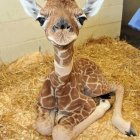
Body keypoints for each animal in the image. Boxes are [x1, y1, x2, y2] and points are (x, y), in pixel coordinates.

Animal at [20, 0, 137, 139]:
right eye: (40, 19)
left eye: (82, 18)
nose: (62, 28)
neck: (60, 85)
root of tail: (93, 63)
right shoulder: (41, 104)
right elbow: (44, 127)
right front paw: (57, 114)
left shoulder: (88, 102)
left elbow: (60, 132)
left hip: (93, 87)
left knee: (118, 85)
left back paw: (126, 126)